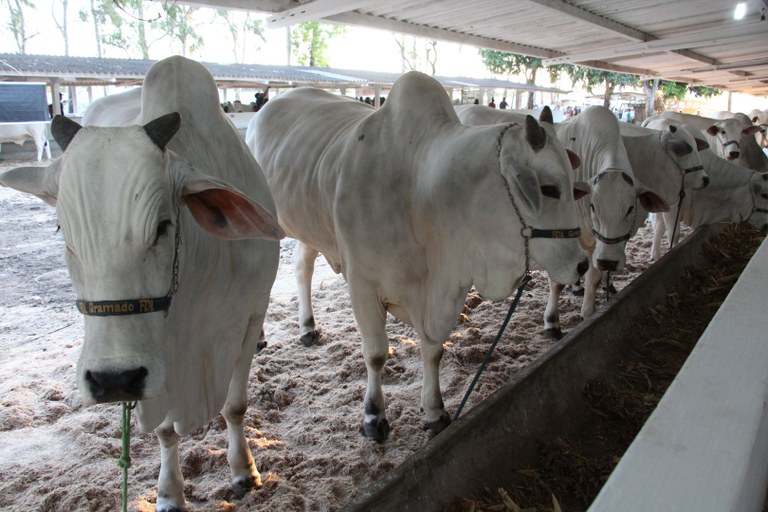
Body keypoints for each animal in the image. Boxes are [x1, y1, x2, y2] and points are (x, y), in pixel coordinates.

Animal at [0, 56, 284, 512]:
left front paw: (243, 470)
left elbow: (235, 406)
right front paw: (169, 494)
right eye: (62, 230)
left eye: (164, 226)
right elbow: (165, 430)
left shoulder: (249, 316)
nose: (114, 380)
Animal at [246, 70, 588, 442]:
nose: (583, 264)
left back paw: (308, 327)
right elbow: (376, 354)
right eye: (549, 189)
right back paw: (260, 336)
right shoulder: (362, 284)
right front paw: (374, 416)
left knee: (302, 267)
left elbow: (434, 349)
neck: (422, 191)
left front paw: (435, 410)